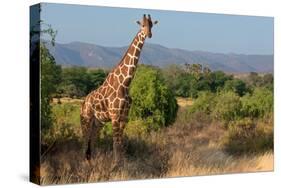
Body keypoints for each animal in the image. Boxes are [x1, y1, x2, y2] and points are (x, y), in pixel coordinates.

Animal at [80, 13, 158, 165]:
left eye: (152, 25)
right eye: (142, 25)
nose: (149, 34)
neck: (125, 83)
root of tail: (83, 103)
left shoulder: (124, 116)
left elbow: (121, 142)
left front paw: (122, 163)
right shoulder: (115, 115)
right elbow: (115, 142)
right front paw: (116, 165)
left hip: (98, 123)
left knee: (93, 140)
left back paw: (93, 161)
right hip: (85, 120)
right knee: (85, 140)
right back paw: (85, 164)